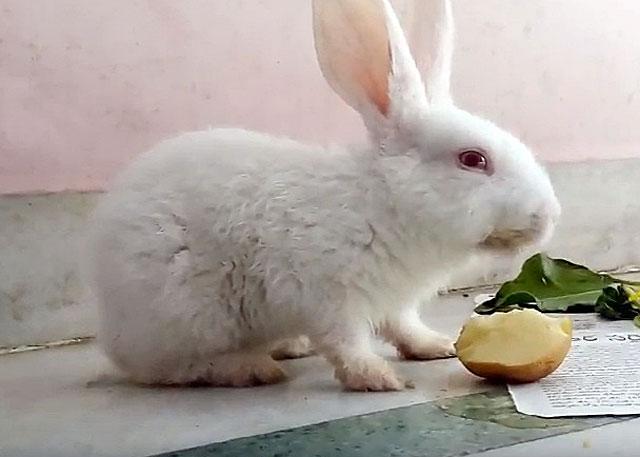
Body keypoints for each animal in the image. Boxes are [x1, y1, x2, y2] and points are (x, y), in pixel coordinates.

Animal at [86, 0, 560, 390]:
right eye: (473, 159)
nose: (550, 215)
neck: (383, 203)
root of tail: (109, 316)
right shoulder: (329, 297)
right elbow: (346, 343)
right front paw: (379, 378)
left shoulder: (395, 302)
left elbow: (404, 328)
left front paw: (436, 346)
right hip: (188, 315)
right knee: (164, 368)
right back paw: (250, 368)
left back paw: (289, 347)